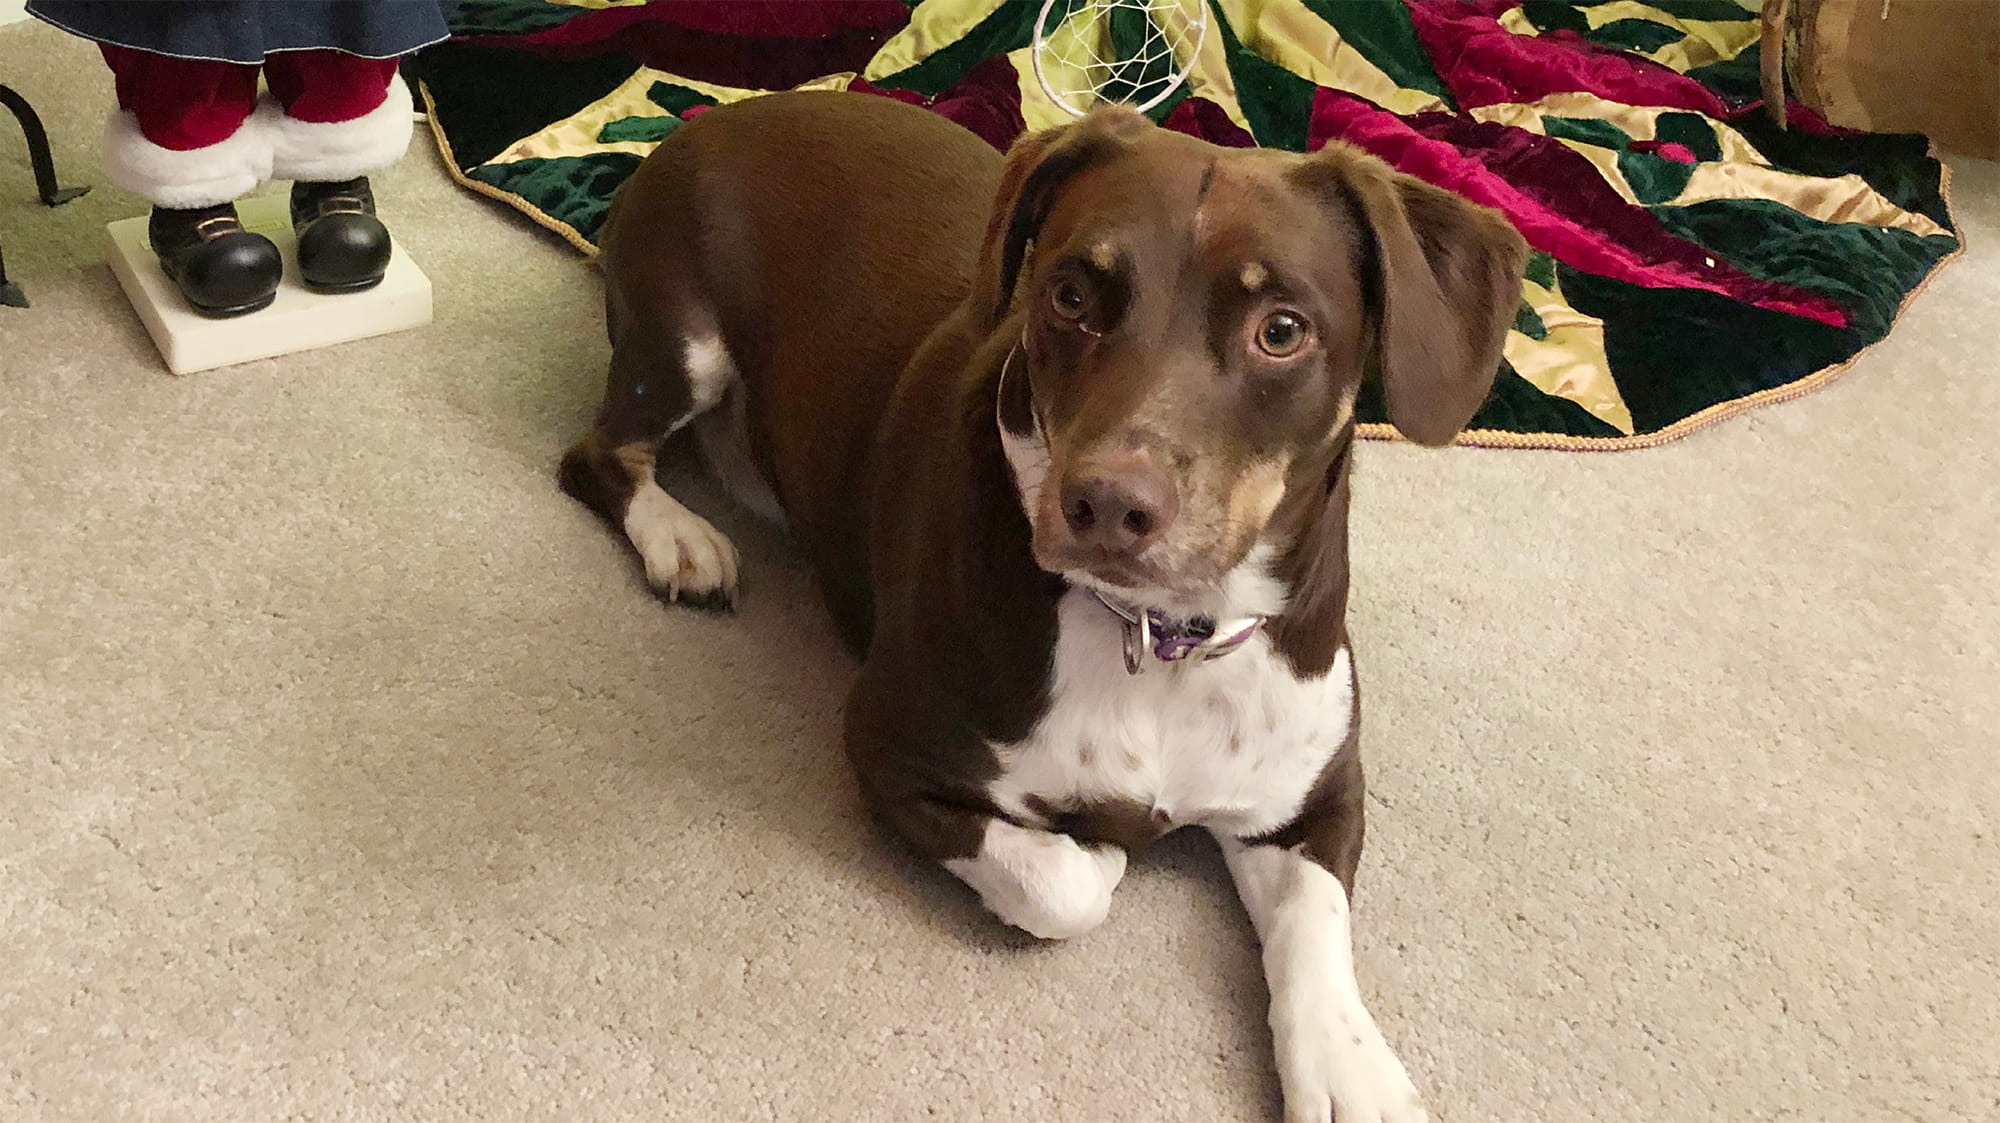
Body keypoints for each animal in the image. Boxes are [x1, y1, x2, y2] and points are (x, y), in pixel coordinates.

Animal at [560, 90, 1527, 1122]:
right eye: (1069, 296)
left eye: (1282, 329)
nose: (1106, 503)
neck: (1163, 638)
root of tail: (714, 115)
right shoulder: (892, 747)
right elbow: (1066, 884)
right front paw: (1100, 847)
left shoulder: (1316, 793)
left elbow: (1318, 923)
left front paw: (1351, 1069)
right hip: (681, 342)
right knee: (600, 452)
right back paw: (680, 536)